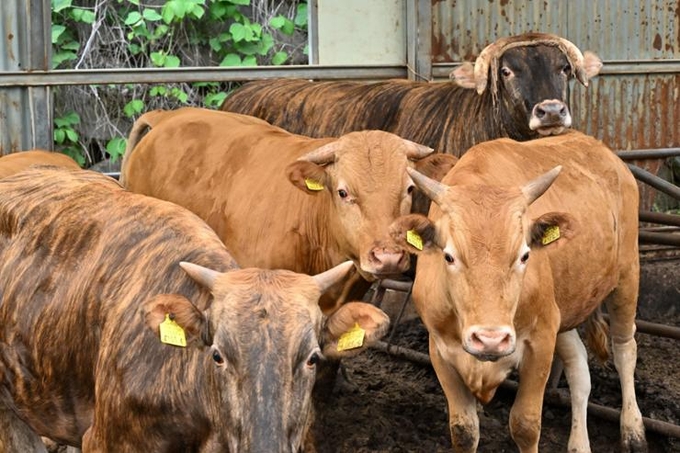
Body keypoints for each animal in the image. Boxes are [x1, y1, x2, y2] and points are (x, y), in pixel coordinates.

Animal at [390, 129, 644, 450]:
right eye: (448, 256)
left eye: (524, 255)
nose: (491, 340)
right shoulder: (440, 350)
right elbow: (463, 430)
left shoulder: (541, 341)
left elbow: (525, 425)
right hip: (564, 305)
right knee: (579, 369)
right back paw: (579, 443)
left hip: (627, 276)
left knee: (625, 348)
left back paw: (633, 430)